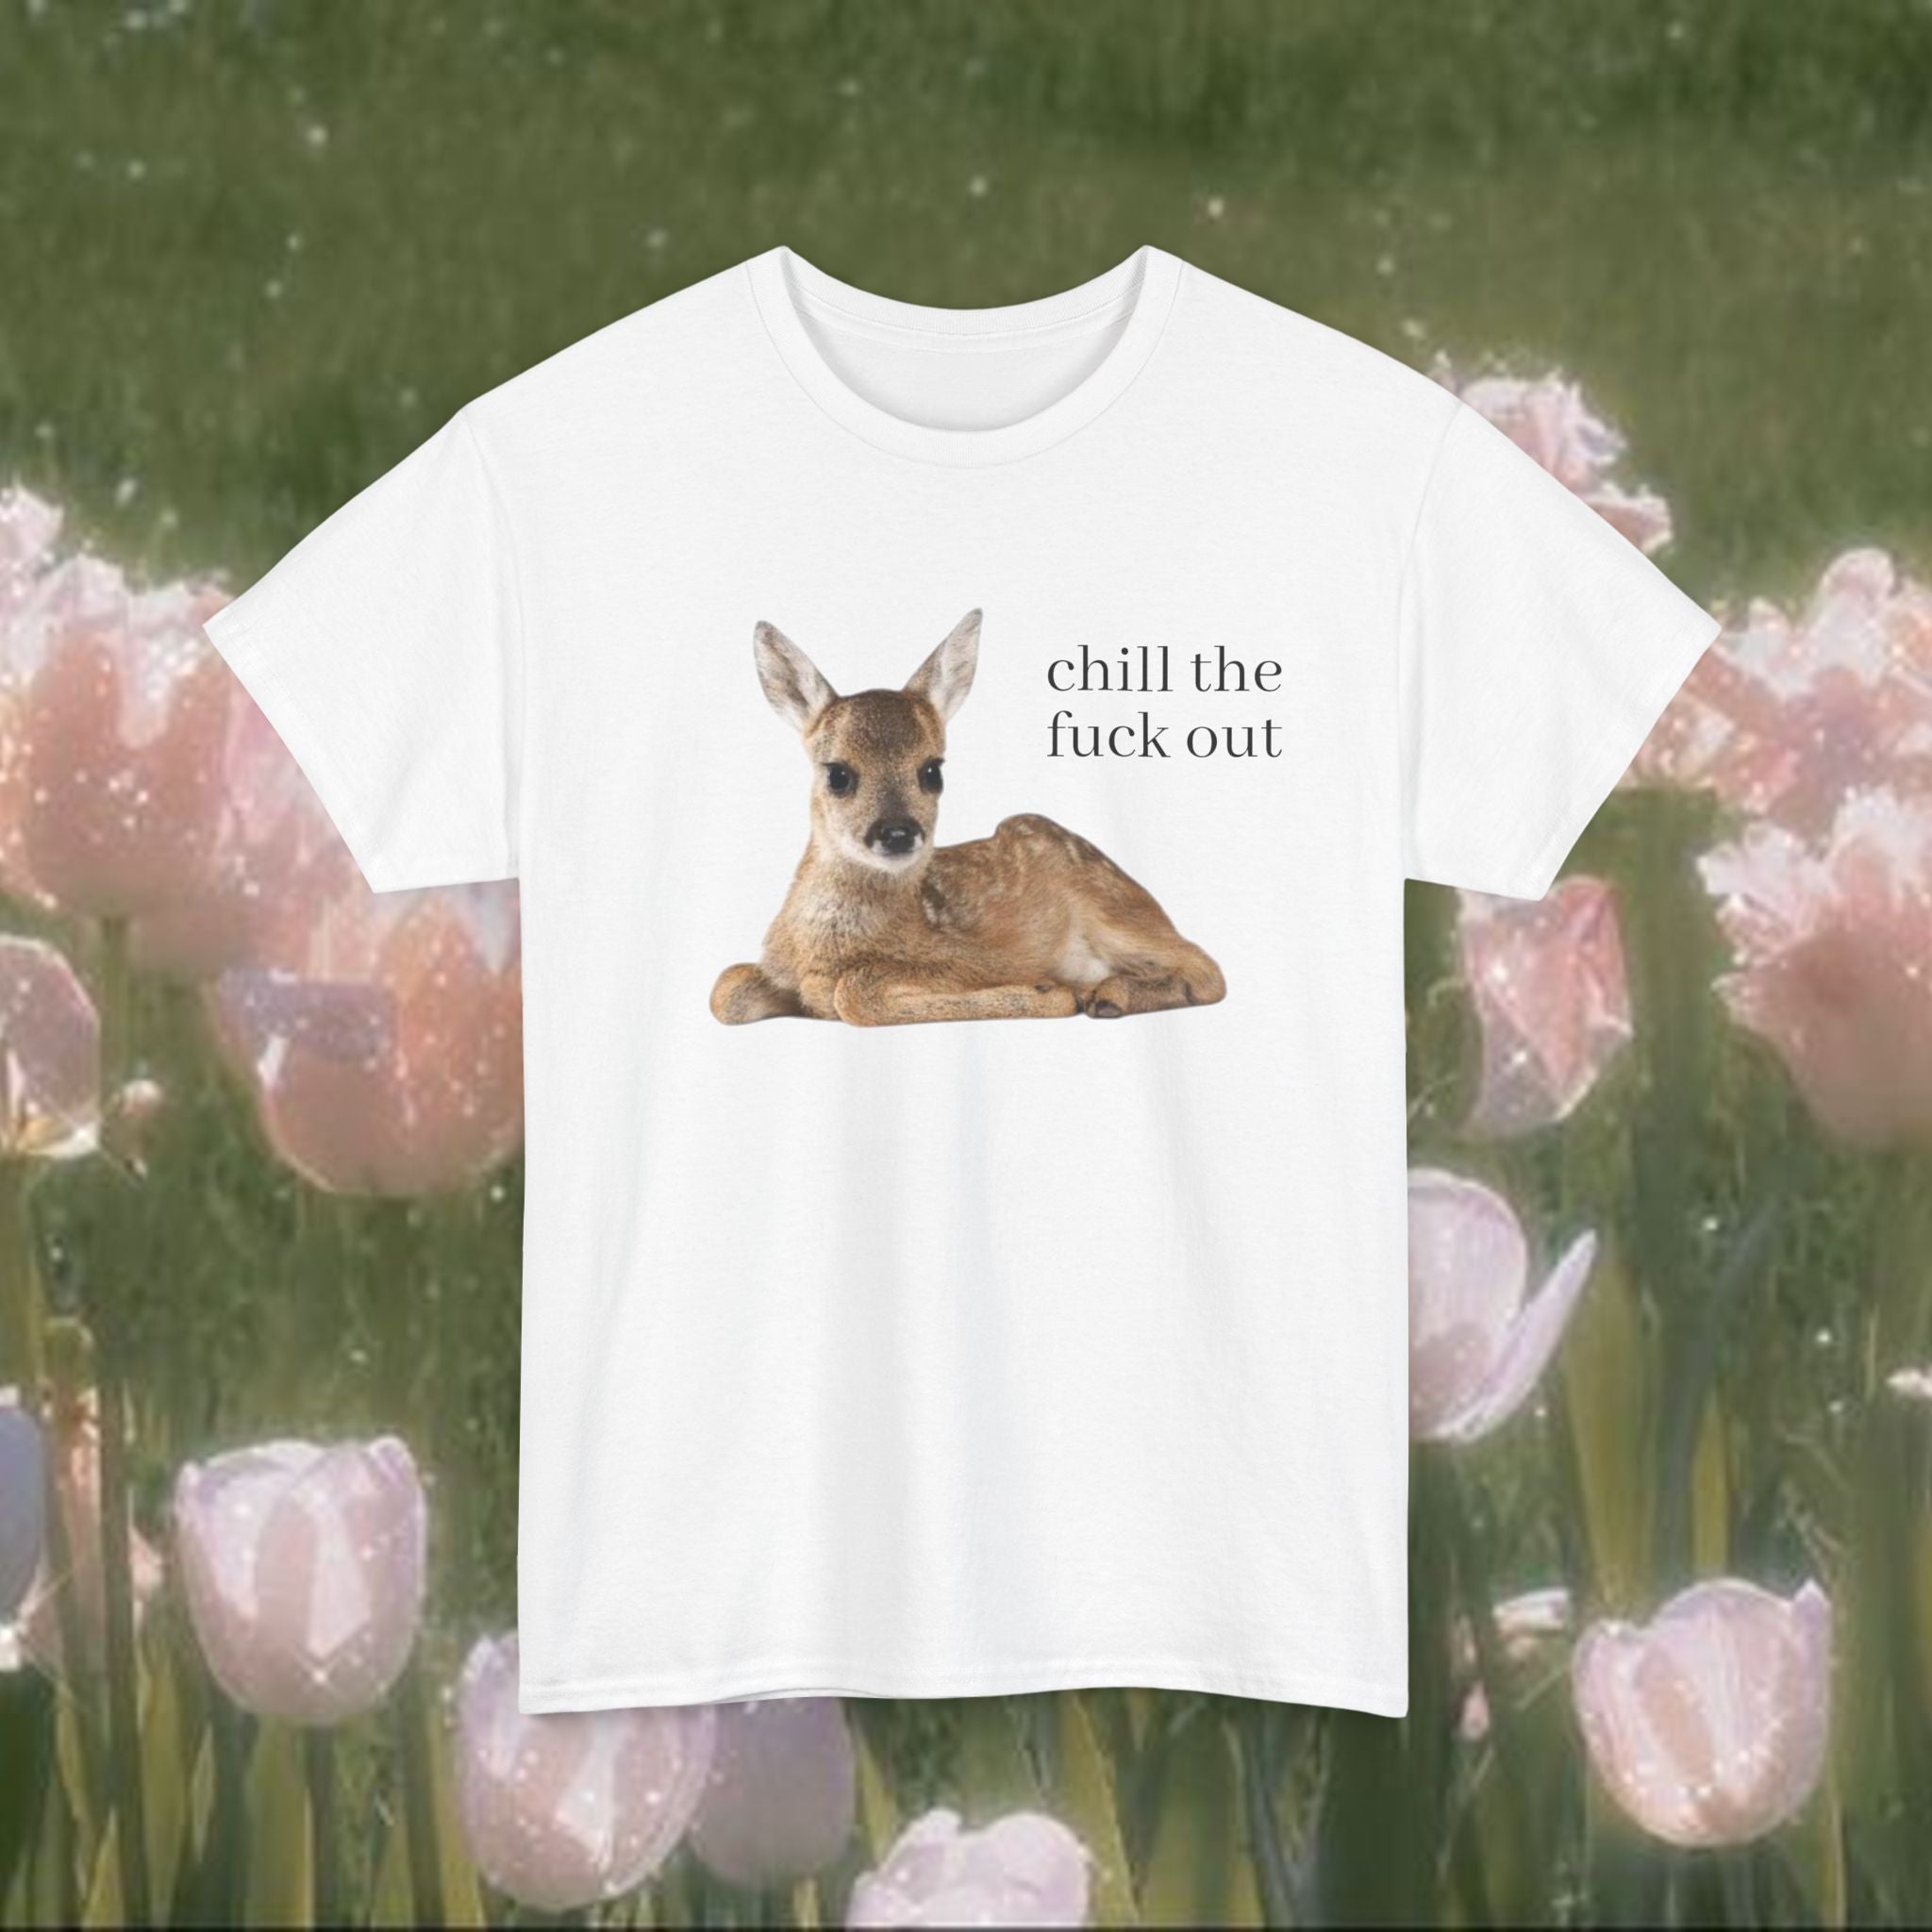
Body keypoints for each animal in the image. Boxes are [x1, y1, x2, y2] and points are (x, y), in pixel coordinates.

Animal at [710, 610, 1226, 1027]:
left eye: (932, 770)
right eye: (838, 774)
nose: (897, 833)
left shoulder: (972, 957)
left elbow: (856, 993)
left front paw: (1047, 991)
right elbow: (725, 988)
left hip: (1111, 909)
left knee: (1206, 969)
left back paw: (1107, 994)